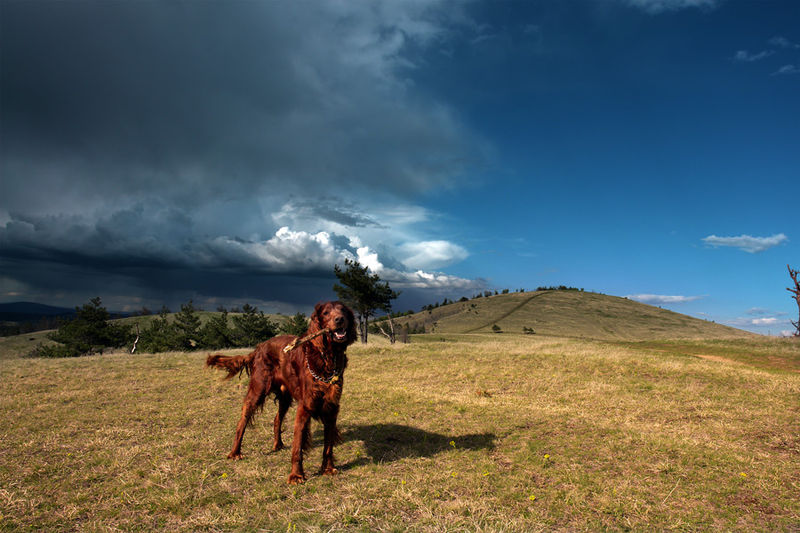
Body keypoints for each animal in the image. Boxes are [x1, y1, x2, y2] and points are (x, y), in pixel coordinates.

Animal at [206, 301, 357, 484]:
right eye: (326, 313)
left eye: (343, 310)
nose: (339, 319)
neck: (327, 356)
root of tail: (259, 348)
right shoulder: (305, 407)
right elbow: (298, 446)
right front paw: (296, 475)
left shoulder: (331, 407)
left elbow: (328, 445)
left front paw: (327, 469)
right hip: (258, 390)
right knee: (243, 419)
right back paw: (235, 452)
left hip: (285, 397)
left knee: (277, 419)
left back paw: (277, 444)